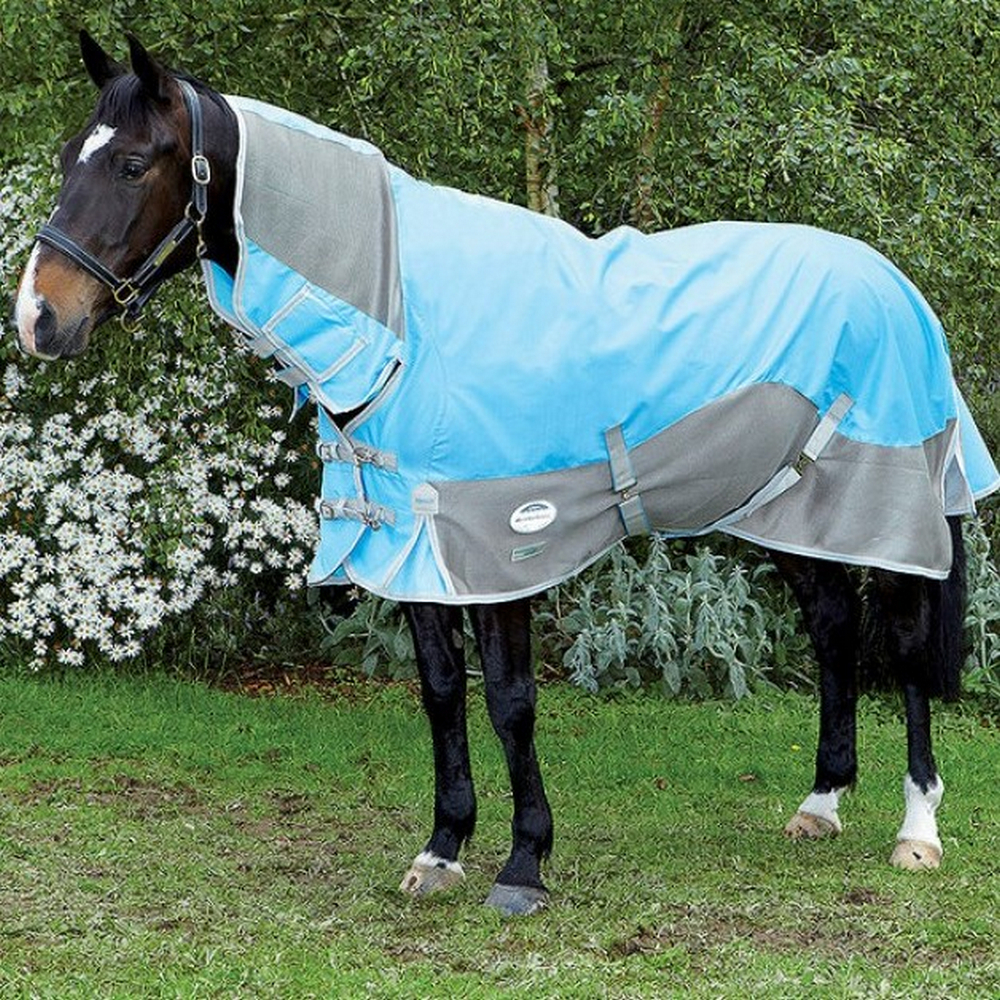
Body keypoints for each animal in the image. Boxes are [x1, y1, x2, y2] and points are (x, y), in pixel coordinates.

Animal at [14, 33, 998, 916]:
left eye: (133, 163)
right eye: (69, 158)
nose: (38, 318)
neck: (407, 322)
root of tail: (895, 286)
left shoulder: (503, 545)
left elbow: (511, 703)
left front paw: (525, 863)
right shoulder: (417, 543)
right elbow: (443, 694)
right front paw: (443, 848)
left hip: (885, 511)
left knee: (902, 652)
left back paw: (917, 831)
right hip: (789, 513)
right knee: (832, 630)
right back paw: (820, 804)